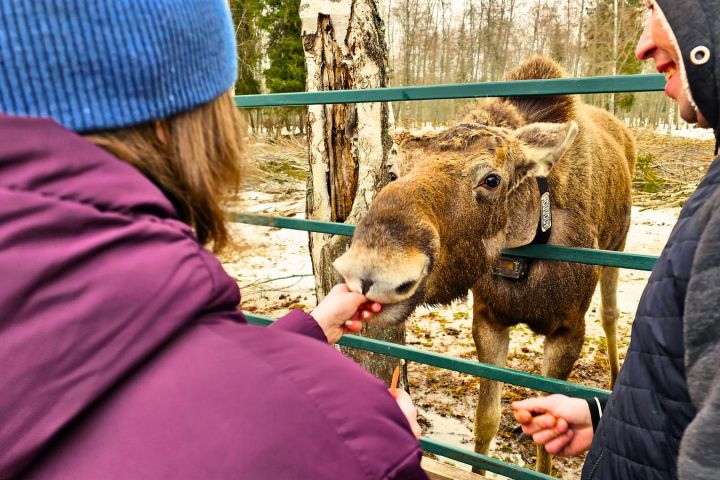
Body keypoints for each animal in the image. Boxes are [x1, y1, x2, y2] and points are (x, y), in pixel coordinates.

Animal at [334, 56, 636, 472]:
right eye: (393, 173)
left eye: (492, 179)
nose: (371, 270)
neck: (521, 263)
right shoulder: (488, 320)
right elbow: (486, 422)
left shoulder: (569, 330)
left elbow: (548, 447)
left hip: (618, 244)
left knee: (610, 314)